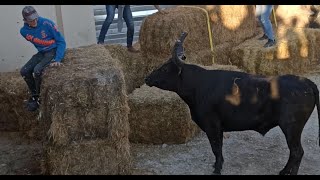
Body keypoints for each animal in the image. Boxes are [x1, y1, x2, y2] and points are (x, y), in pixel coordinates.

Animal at [145, 32, 320, 174]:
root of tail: (307, 82)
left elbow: (216, 148)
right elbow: (219, 148)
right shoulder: (218, 127)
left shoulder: (212, 126)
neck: (199, 86)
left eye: (165, 69)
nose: (147, 78)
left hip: (291, 127)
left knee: (297, 152)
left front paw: (217, 169)